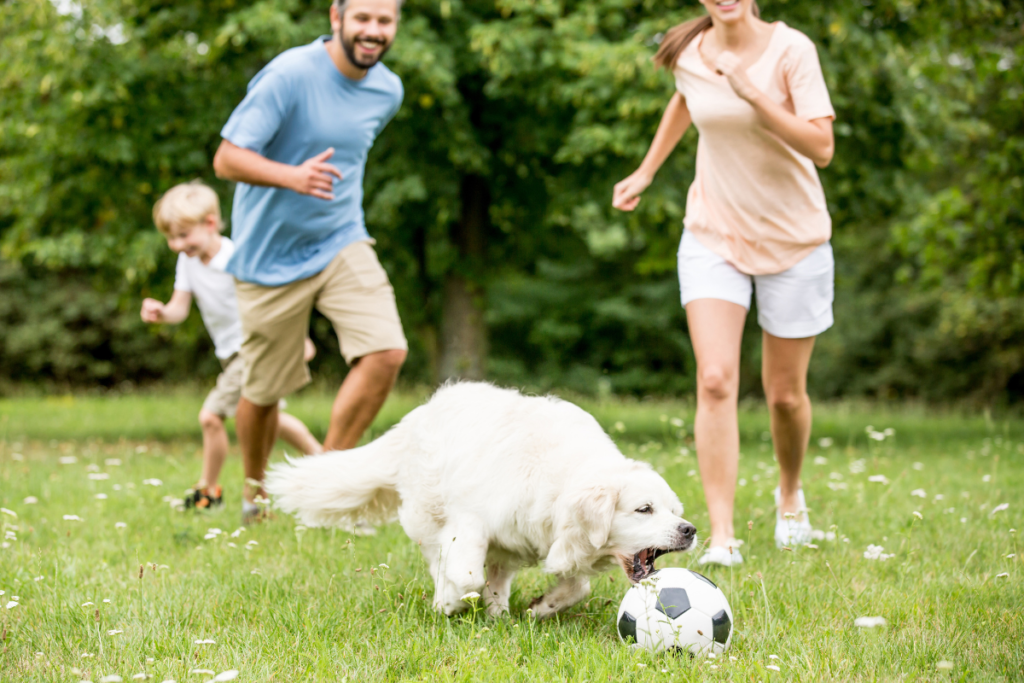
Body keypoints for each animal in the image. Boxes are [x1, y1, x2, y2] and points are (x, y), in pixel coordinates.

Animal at [264, 382, 696, 618]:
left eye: (676, 511)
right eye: (644, 509)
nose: (689, 530)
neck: (557, 479)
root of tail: (418, 415)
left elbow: (577, 587)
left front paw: (542, 606)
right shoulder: (470, 521)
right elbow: (467, 574)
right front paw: (452, 601)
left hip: (506, 546)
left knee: (497, 577)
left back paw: (498, 613)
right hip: (431, 516)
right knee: (442, 559)